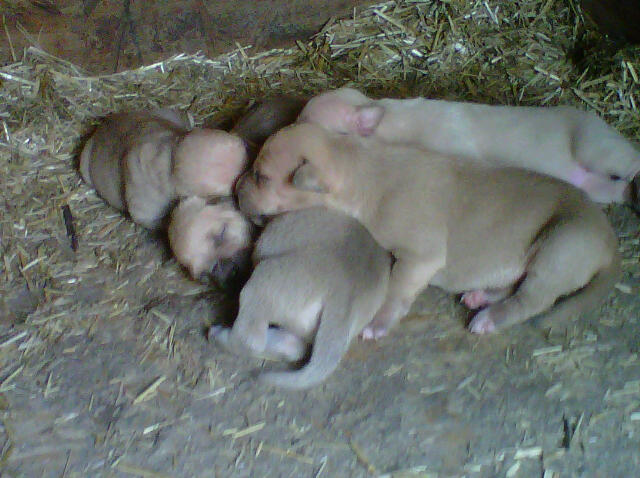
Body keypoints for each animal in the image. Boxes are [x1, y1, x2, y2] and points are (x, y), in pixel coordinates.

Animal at [209, 207, 391, 389]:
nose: (216, 271)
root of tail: (345, 294)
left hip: (263, 281)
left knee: (251, 339)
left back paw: (219, 335)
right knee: (294, 346)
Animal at [236, 123, 620, 338]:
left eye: (261, 177)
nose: (235, 189)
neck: (360, 170)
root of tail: (610, 245)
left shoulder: (419, 258)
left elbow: (395, 289)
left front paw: (378, 323)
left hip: (560, 246)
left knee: (533, 299)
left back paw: (489, 319)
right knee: (515, 284)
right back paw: (481, 296)